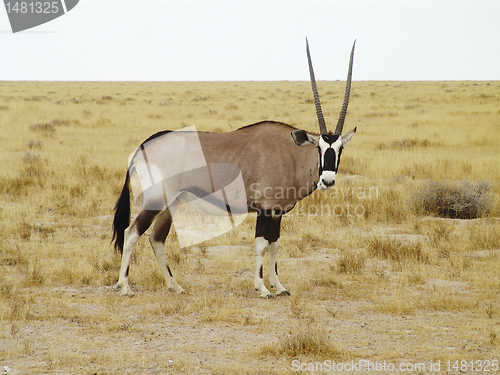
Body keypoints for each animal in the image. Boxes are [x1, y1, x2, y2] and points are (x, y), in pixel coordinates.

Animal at [113, 39, 356, 298]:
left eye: (340, 148)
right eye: (319, 147)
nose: (328, 181)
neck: (290, 153)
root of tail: (145, 145)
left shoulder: (277, 212)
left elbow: (275, 245)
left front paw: (279, 287)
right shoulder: (265, 209)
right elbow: (261, 245)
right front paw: (262, 288)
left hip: (171, 203)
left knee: (157, 237)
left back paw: (175, 286)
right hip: (156, 199)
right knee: (131, 232)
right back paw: (125, 286)